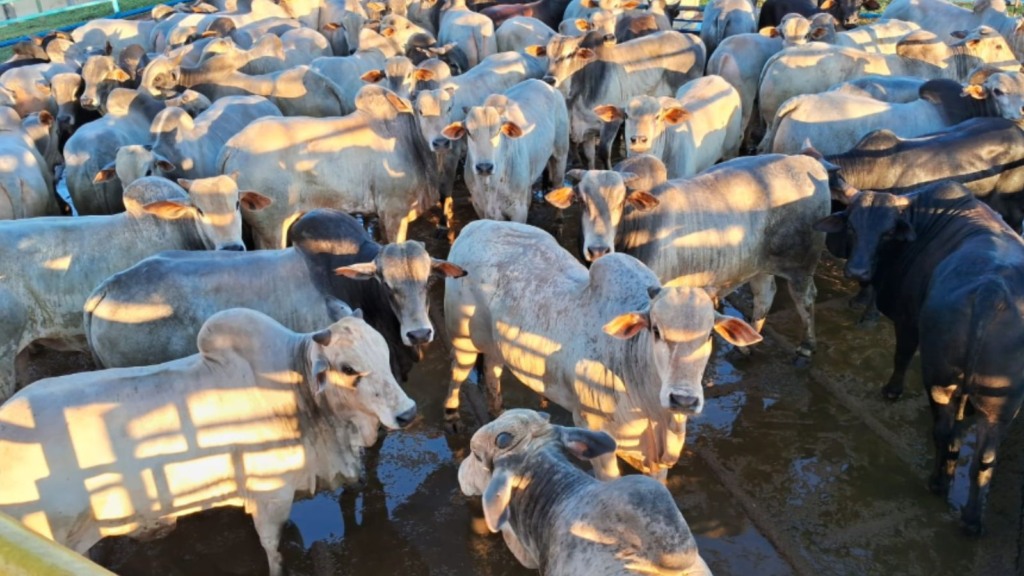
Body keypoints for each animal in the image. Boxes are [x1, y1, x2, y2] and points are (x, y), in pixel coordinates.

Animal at [1, 307, 415, 573]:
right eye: (348, 368)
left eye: (384, 352)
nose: (408, 412)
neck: (296, 390)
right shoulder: (270, 496)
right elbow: (273, 550)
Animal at [442, 220, 761, 479]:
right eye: (656, 330)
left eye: (708, 335)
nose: (683, 400)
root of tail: (474, 227)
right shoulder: (595, 432)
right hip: (462, 339)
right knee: (457, 374)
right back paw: (452, 416)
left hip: (495, 345)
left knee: (492, 370)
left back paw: (498, 413)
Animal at [548, 152, 827, 358]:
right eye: (581, 201)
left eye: (621, 202)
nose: (598, 249)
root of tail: (810, 164)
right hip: (759, 266)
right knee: (765, 295)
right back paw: (747, 346)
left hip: (802, 265)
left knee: (805, 297)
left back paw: (807, 345)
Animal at [815, 180, 1024, 532]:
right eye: (853, 226)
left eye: (887, 232)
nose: (857, 271)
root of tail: (991, 290)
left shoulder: (907, 319)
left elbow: (901, 356)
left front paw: (891, 390)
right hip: (1003, 405)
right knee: (983, 457)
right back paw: (971, 519)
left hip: (940, 378)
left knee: (945, 434)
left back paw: (939, 484)